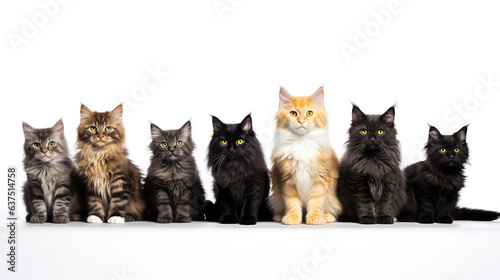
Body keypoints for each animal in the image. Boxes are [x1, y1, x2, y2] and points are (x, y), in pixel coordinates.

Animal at [268, 87, 342, 225]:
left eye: (309, 113)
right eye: (293, 113)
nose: (301, 121)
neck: (301, 141)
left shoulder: (320, 180)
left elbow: (316, 201)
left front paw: (315, 218)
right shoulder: (288, 181)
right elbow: (292, 202)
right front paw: (292, 217)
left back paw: (326, 216)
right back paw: (280, 216)